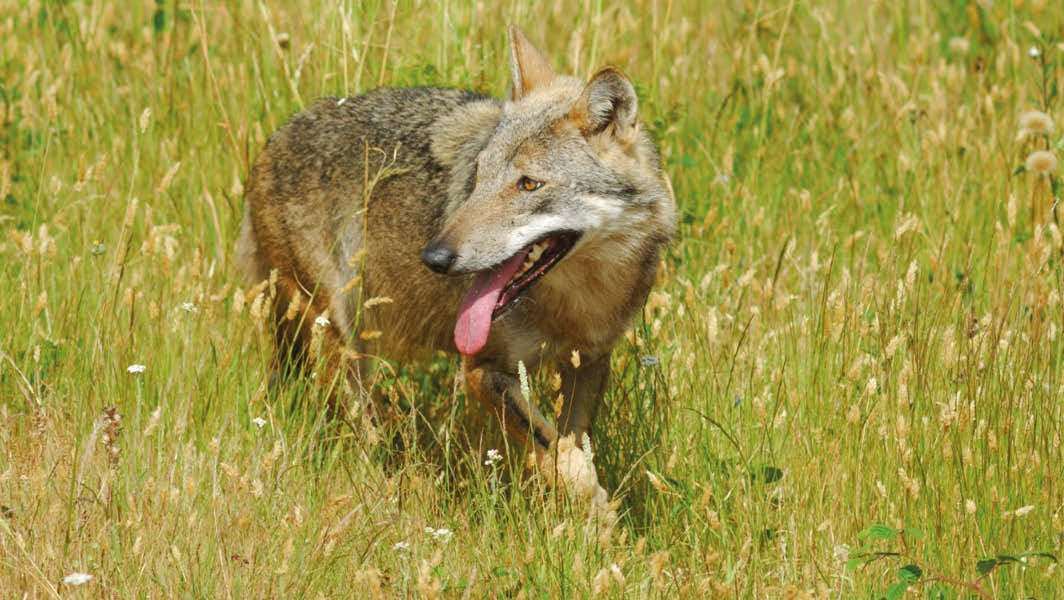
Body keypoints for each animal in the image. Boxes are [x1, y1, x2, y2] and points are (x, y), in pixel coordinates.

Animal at [238, 26, 676, 514]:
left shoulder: (590, 361)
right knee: (362, 435)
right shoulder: (481, 370)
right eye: (479, 177)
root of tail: (274, 141)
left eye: (529, 184)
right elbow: (564, 458)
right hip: (342, 338)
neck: (577, 301)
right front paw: (600, 514)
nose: (434, 257)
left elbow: (569, 446)